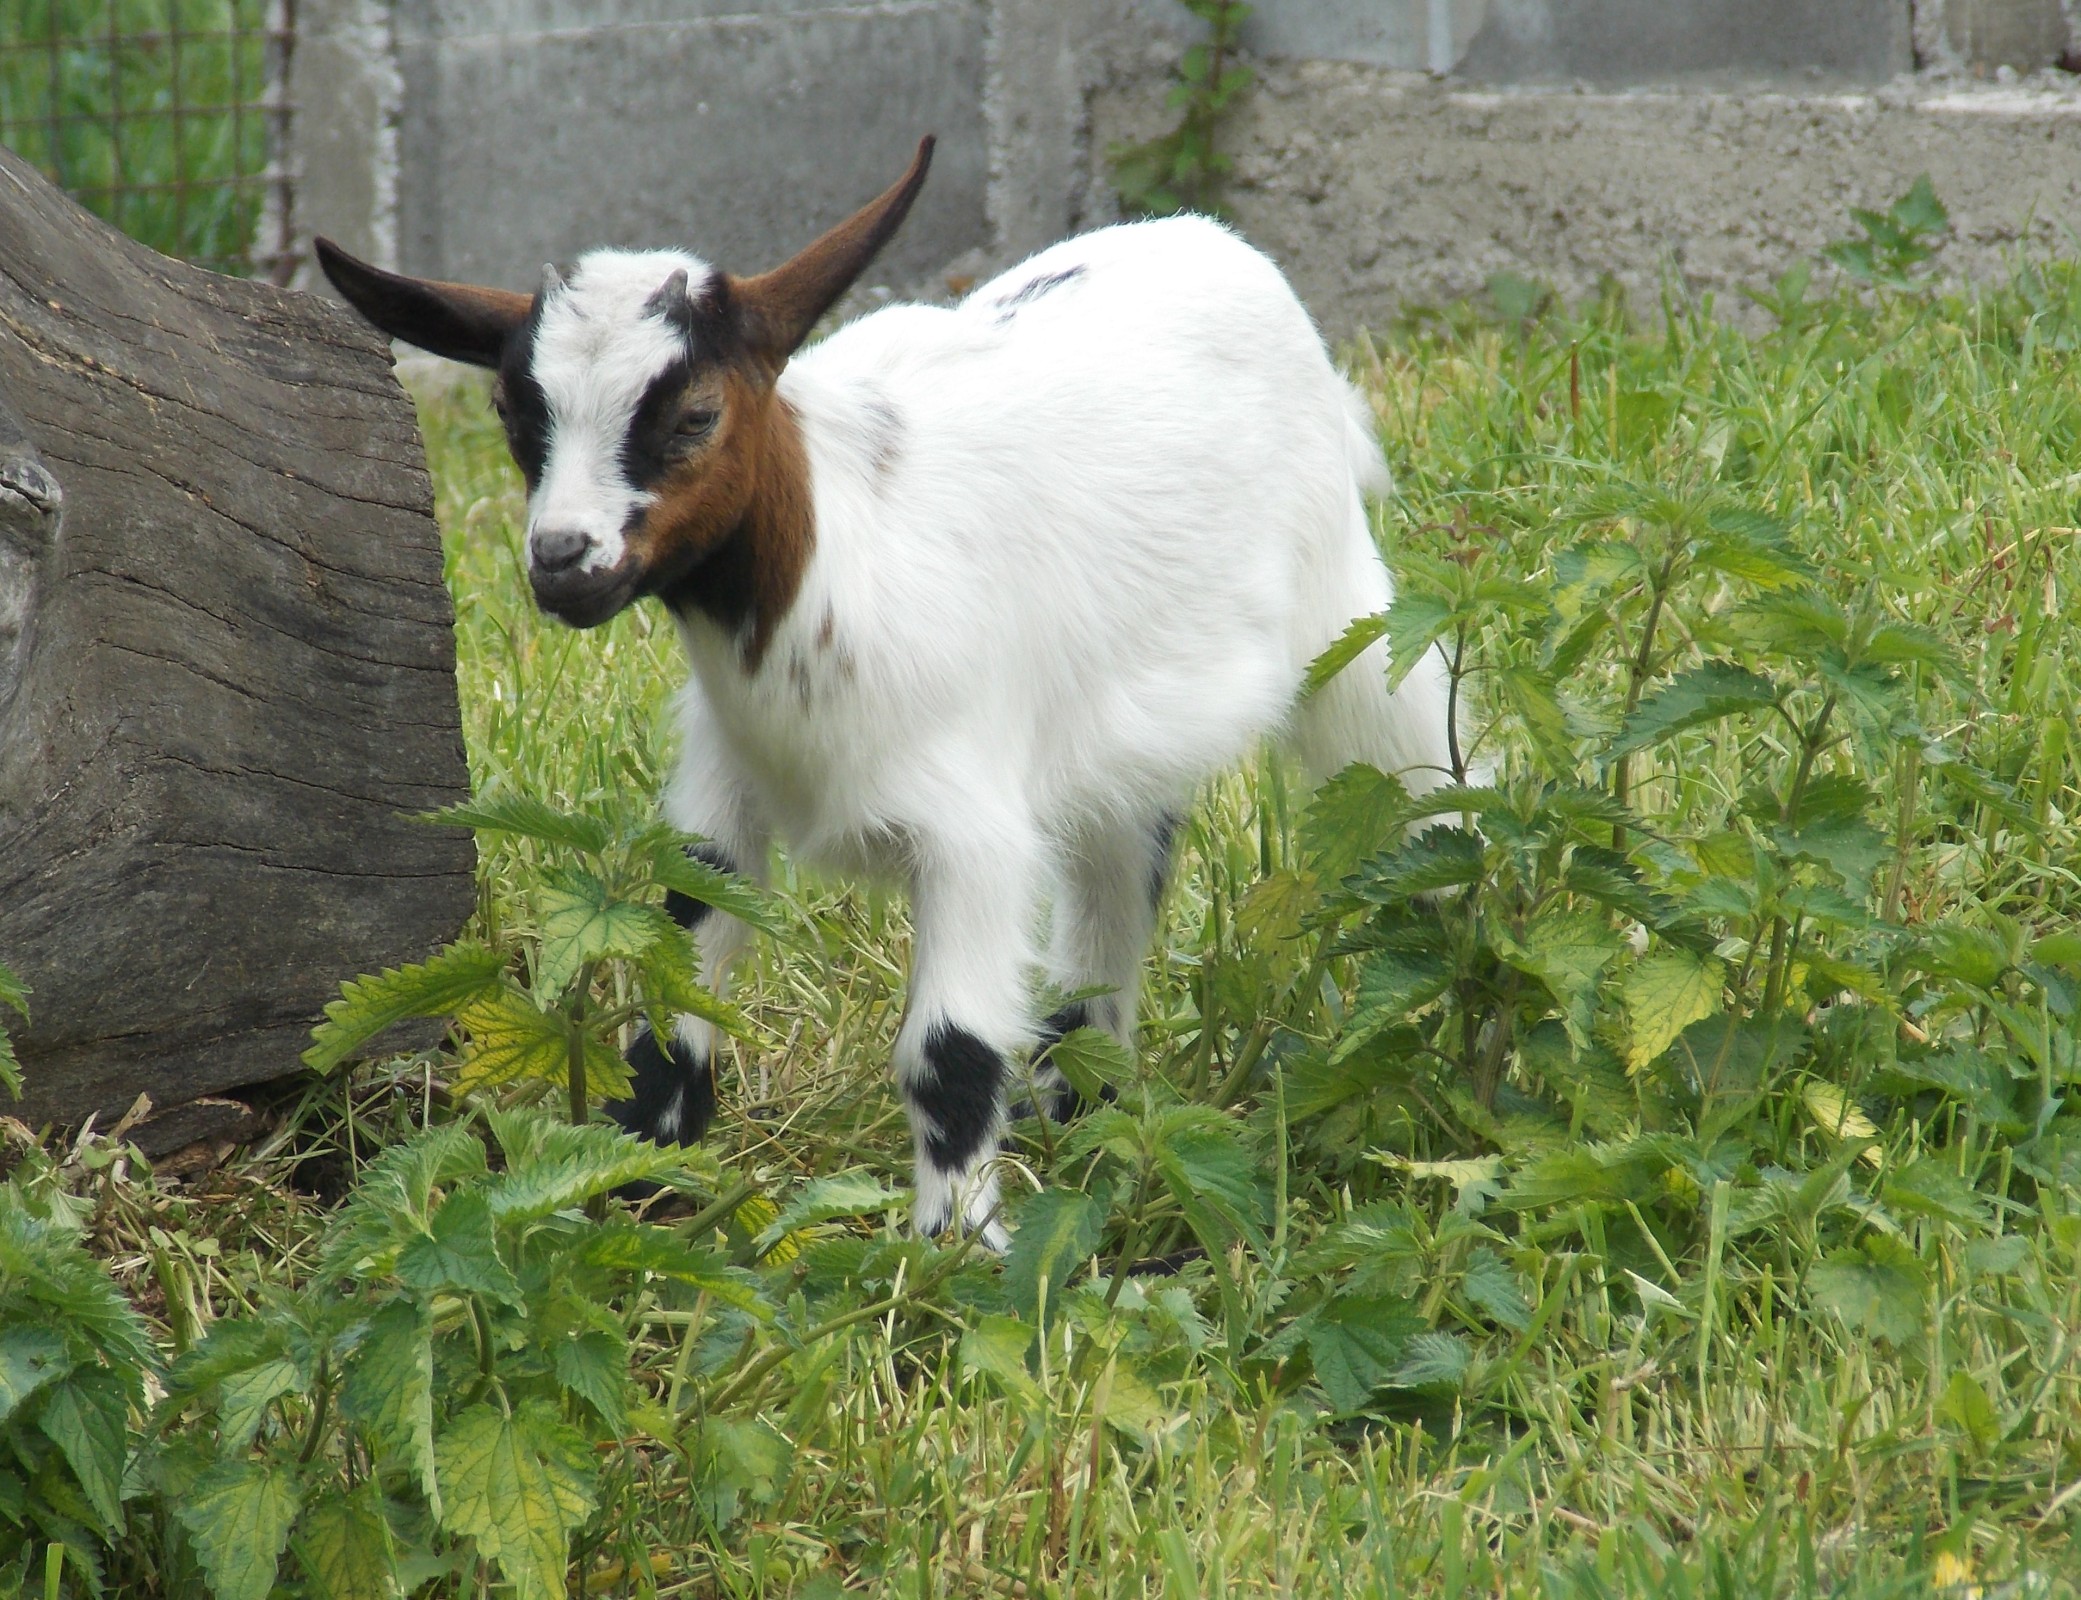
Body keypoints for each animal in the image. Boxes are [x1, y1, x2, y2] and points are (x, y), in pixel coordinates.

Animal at [316, 137, 1456, 1247]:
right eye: (515, 415)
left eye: (694, 415)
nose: (561, 561)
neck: (834, 582)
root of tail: (1209, 239)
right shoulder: (718, 798)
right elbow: (671, 1014)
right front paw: (631, 1190)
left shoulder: (973, 831)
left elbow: (947, 1052)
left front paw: (952, 1253)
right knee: (1121, 863)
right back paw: (1079, 1106)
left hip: (1343, 613)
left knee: (1422, 766)